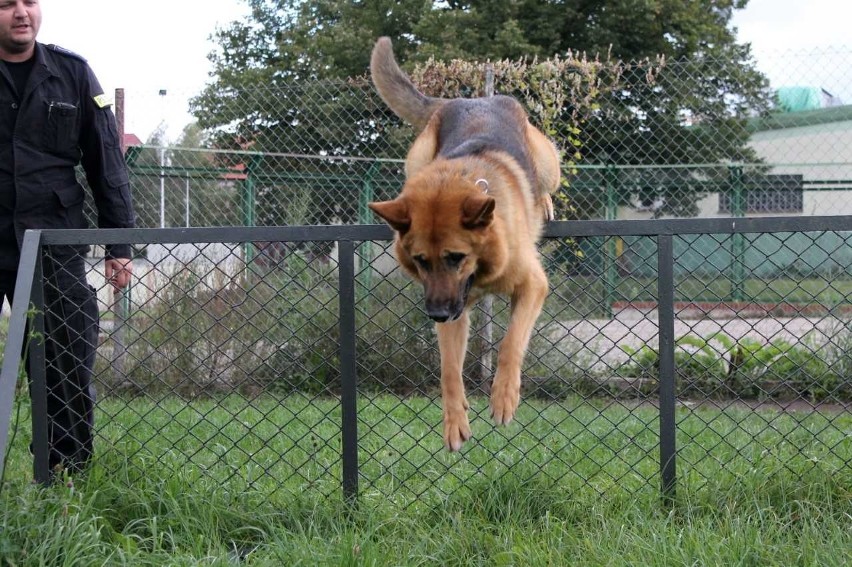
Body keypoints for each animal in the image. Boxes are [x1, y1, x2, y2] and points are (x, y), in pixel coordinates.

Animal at [364, 36, 560, 452]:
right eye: (421, 261)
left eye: (456, 257)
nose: (437, 314)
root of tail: (467, 99)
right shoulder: (454, 313)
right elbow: (449, 370)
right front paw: (455, 420)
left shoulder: (532, 285)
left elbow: (510, 342)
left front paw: (503, 396)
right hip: (417, 160)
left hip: (549, 163)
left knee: (547, 181)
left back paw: (546, 201)